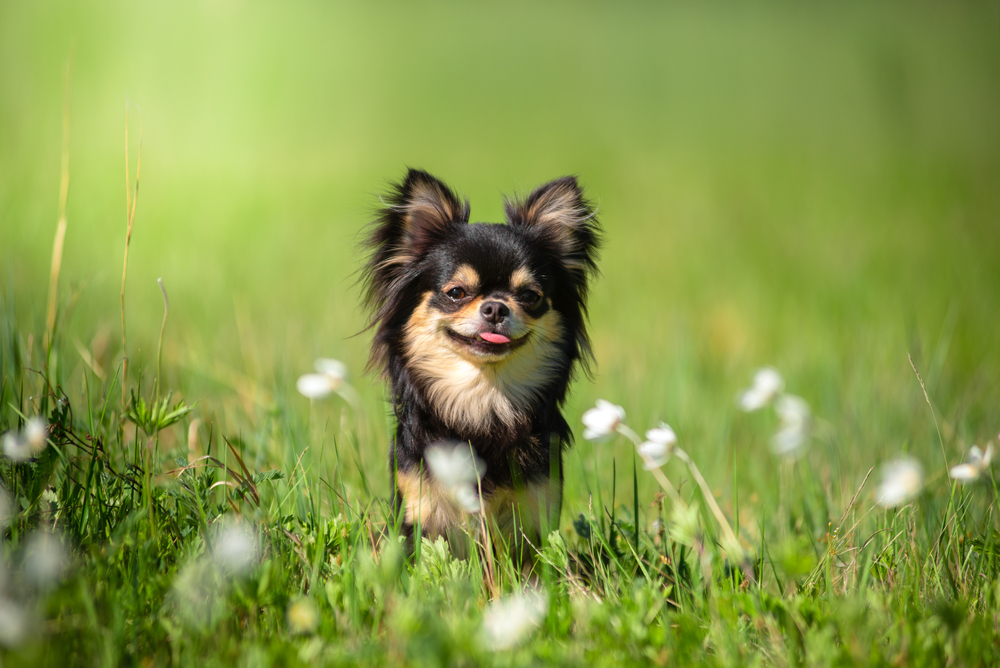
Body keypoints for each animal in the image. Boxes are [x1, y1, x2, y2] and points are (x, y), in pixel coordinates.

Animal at [366, 168, 600, 560]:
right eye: (456, 292)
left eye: (530, 296)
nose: (495, 307)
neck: (483, 399)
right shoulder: (420, 508)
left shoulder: (535, 512)